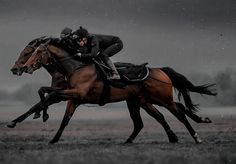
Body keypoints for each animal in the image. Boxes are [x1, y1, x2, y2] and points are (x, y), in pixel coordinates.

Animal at [21, 41, 216, 144]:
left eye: (38, 51)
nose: (26, 67)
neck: (77, 67)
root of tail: (160, 70)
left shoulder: (76, 93)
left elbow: (52, 96)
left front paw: (42, 114)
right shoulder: (73, 97)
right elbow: (62, 117)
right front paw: (52, 136)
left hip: (161, 98)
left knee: (179, 113)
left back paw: (196, 137)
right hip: (142, 101)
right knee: (151, 119)